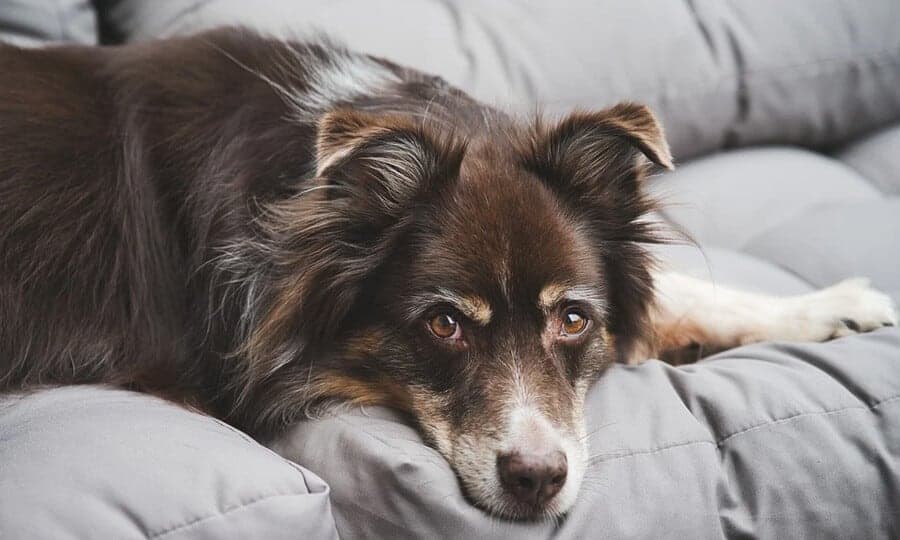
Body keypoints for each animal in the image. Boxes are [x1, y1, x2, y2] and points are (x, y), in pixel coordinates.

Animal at [0, 28, 896, 520]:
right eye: (444, 324)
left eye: (573, 318)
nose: (537, 481)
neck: (303, 195)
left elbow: (675, 291)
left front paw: (831, 307)